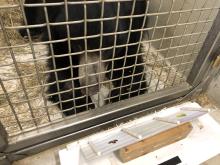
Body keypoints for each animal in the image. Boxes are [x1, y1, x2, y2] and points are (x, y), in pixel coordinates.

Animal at [19, 0, 149, 116]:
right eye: (78, 45)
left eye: (108, 49)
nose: (91, 88)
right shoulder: (56, 35)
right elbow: (61, 72)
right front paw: (83, 105)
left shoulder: (135, 29)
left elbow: (130, 66)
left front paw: (116, 98)